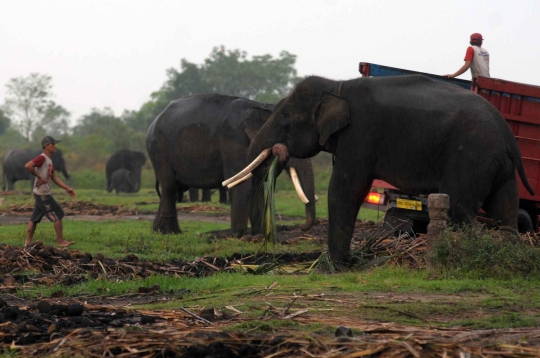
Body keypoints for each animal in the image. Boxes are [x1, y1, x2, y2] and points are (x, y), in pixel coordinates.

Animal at [146, 93, 318, 236]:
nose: (302, 228)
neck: (260, 106)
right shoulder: (234, 140)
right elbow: (243, 185)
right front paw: (238, 237)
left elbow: (259, 182)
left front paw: (257, 236)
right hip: (158, 150)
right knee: (169, 187)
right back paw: (170, 233)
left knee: (170, 189)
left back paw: (159, 231)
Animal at [242, 75, 536, 264]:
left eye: (284, 116)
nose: (277, 152)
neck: (336, 86)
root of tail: (509, 136)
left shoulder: (360, 134)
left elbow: (346, 188)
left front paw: (333, 266)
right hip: (498, 166)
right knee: (505, 212)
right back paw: (511, 256)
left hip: (473, 155)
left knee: (460, 208)